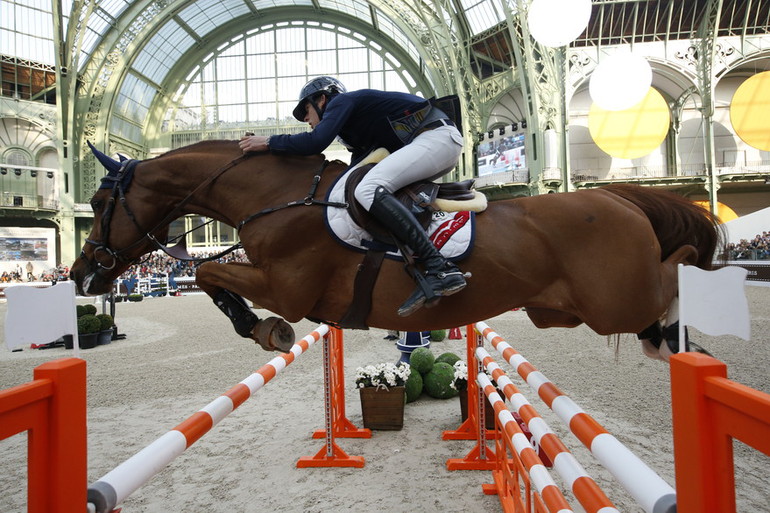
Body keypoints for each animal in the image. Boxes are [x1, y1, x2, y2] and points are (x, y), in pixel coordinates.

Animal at [67, 138, 720, 358]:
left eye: (99, 203)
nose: (81, 275)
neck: (277, 196)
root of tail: (620, 198)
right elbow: (210, 278)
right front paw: (263, 329)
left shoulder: (288, 286)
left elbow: (210, 278)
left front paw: (263, 329)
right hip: (560, 311)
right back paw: (673, 342)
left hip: (615, 300)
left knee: (679, 270)